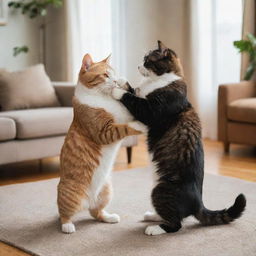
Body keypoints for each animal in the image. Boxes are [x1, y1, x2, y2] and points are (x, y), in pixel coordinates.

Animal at [57, 54, 143, 234]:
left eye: (114, 73)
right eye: (105, 75)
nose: (116, 81)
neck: (104, 98)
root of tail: (87, 202)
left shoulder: (127, 112)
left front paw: (124, 83)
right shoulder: (104, 132)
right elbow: (125, 127)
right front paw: (139, 126)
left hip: (106, 190)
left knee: (96, 212)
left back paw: (109, 217)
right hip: (71, 195)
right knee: (64, 213)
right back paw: (67, 226)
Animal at [111, 40, 246, 236]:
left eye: (147, 60)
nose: (138, 65)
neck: (158, 81)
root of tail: (198, 203)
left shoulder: (150, 111)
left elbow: (132, 98)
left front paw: (116, 90)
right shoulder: (144, 99)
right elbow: (134, 90)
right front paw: (122, 81)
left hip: (160, 190)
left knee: (176, 224)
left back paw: (154, 228)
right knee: (172, 217)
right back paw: (152, 215)